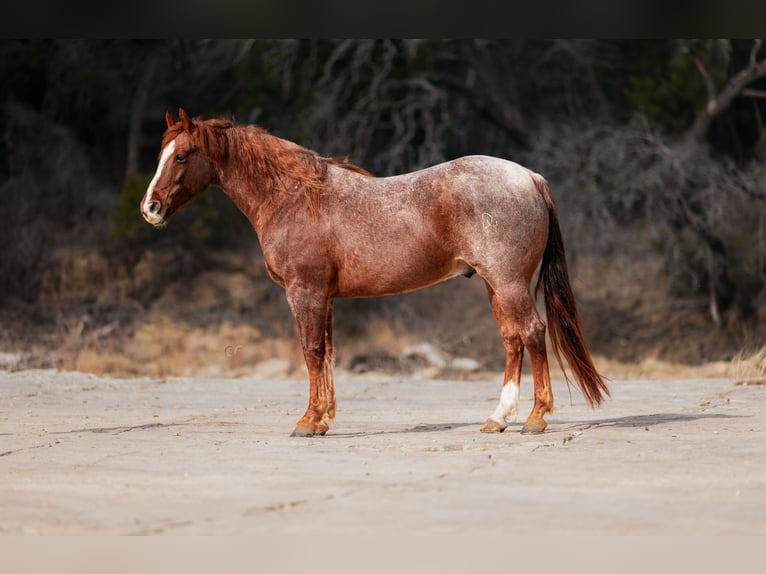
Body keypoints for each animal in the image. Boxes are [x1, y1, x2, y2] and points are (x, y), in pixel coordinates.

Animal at [142, 110, 612, 438]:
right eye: (161, 155)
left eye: (181, 155)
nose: (150, 208)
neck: (293, 198)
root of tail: (529, 177)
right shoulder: (325, 297)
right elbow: (327, 353)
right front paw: (323, 419)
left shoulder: (305, 292)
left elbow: (311, 352)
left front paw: (307, 422)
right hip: (495, 286)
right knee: (513, 340)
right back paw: (497, 419)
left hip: (509, 283)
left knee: (532, 333)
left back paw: (535, 418)